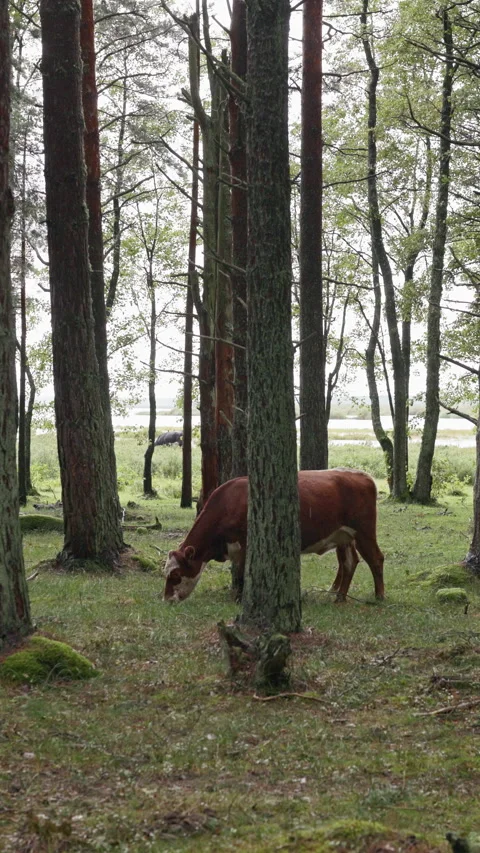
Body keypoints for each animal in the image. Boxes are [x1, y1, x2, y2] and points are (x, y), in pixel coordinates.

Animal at [164, 468, 384, 604]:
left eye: (175, 575)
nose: (166, 599)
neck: (228, 504)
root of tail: (360, 475)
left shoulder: (246, 544)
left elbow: (244, 573)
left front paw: (241, 599)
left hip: (363, 532)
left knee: (375, 559)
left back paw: (379, 596)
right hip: (344, 536)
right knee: (349, 562)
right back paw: (339, 596)